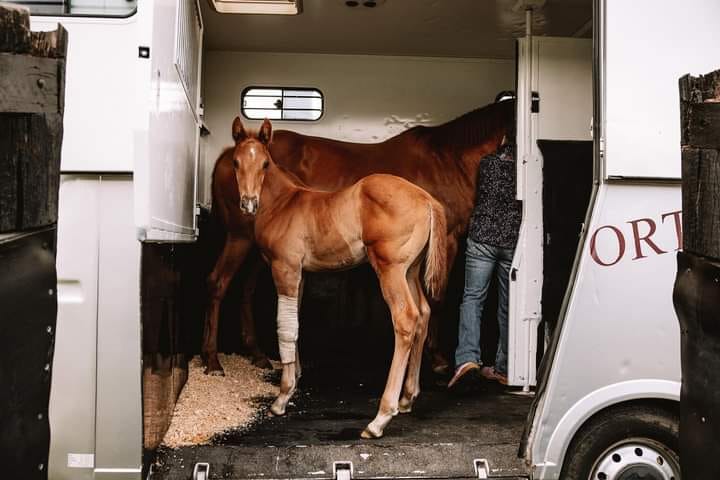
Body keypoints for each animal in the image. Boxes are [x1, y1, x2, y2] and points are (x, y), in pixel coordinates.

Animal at [203, 98, 515, 375]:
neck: (447, 161)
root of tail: (225, 153)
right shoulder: (447, 240)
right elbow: (437, 297)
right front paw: (437, 358)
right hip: (240, 238)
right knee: (218, 283)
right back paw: (212, 361)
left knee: (246, 289)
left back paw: (256, 354)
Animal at [230, 117, 448, 439]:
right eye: (235, 162)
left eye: (266, 163)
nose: (248, 203)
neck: (284, 203)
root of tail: (427, 199)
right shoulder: (300, 274)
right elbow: (295, 321)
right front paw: (295, 379)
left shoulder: (285, 269)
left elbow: (285, 327)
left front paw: (282, 398)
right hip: (410, 271)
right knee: (423, 312)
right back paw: (408, 397)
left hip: (390, 269)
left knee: (406, 319)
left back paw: (379, 419)